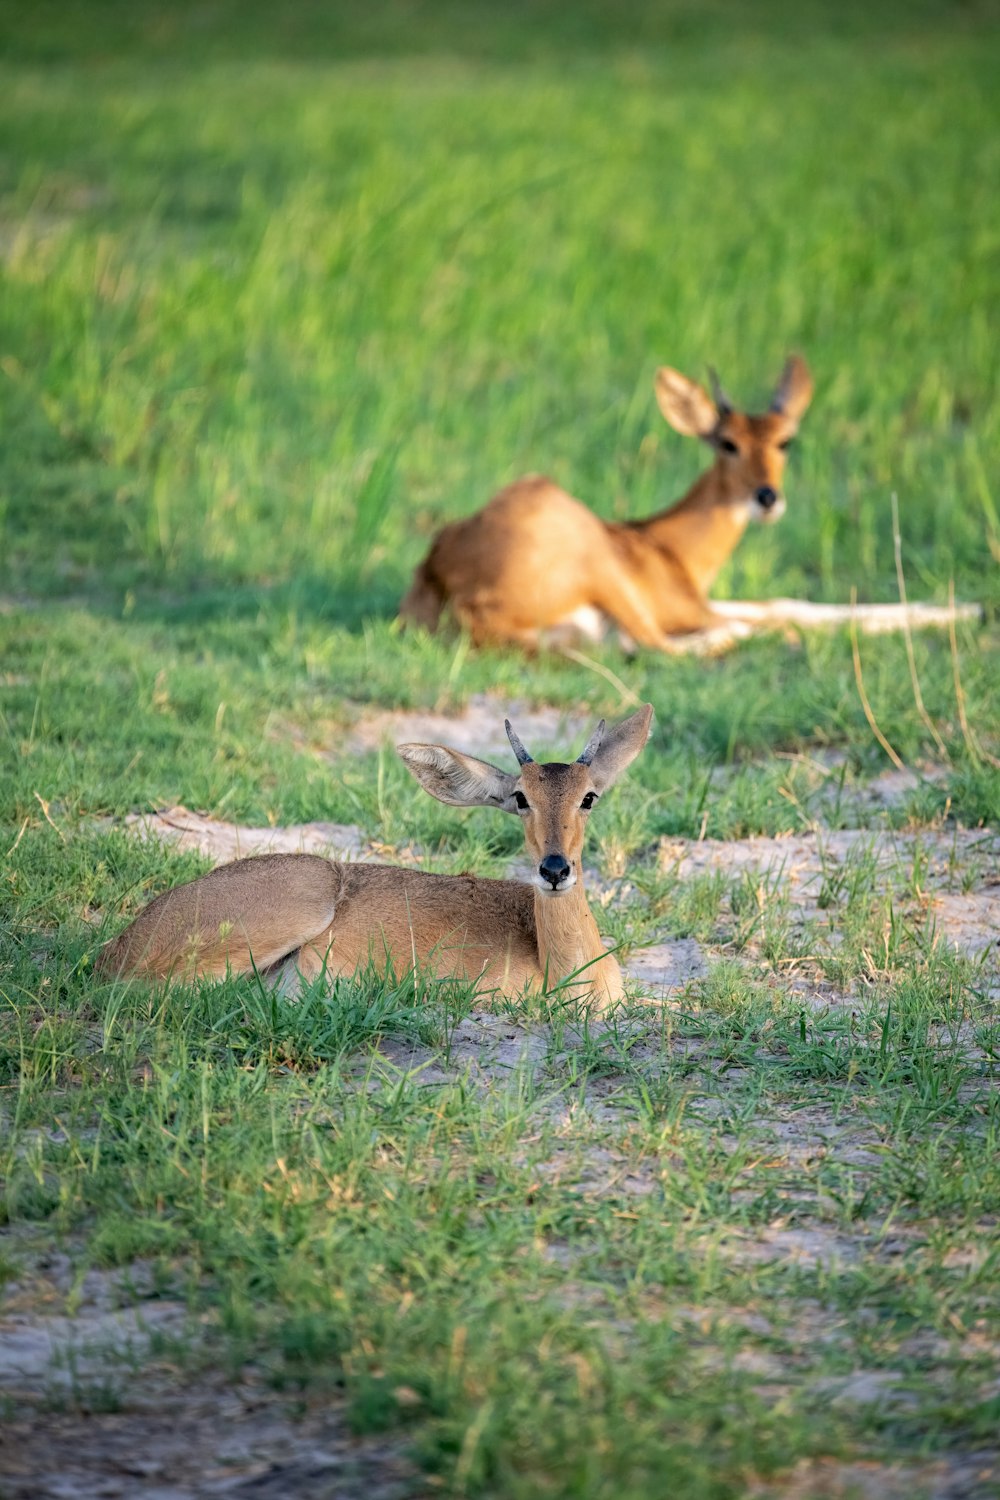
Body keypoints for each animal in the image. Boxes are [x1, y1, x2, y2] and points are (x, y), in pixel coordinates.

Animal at [398, 357, 815, 657]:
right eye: (728, 443)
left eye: (785, 441)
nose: (767, 497)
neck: (671, 548)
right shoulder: (681, 606)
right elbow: (767, 617)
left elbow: (778, 603)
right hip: (598, 565)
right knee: (662, 645)